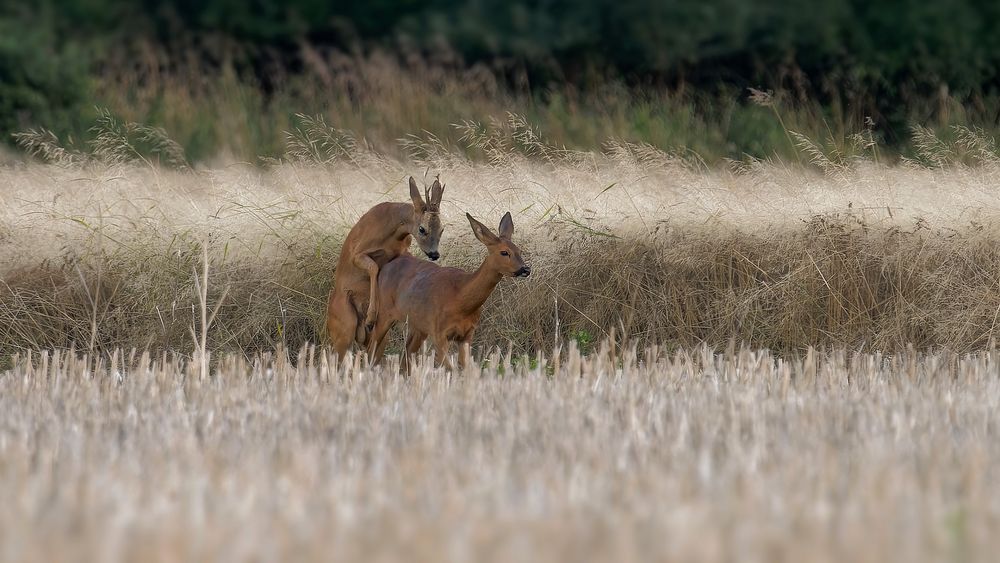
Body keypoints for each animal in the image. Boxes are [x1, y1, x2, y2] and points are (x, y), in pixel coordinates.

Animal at [326, 178, 444, 360]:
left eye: (442, 229)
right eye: (422, 228)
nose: (434, 254)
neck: (391, 231)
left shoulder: (401, 252)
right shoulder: (357, 254)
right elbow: (374, 268)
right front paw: (370, 317)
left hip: (376, 338)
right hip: (344, 329)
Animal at [364, 212, 528, 370]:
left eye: (519, 250)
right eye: (504, 252)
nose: (526, 269)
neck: (460, 299)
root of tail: (387, 265)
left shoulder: (467, 334)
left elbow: (465, 368)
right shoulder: (439, 332)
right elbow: (450, 368)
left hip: (417, 325)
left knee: (407, 353)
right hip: (384, 313)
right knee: (372, 347)